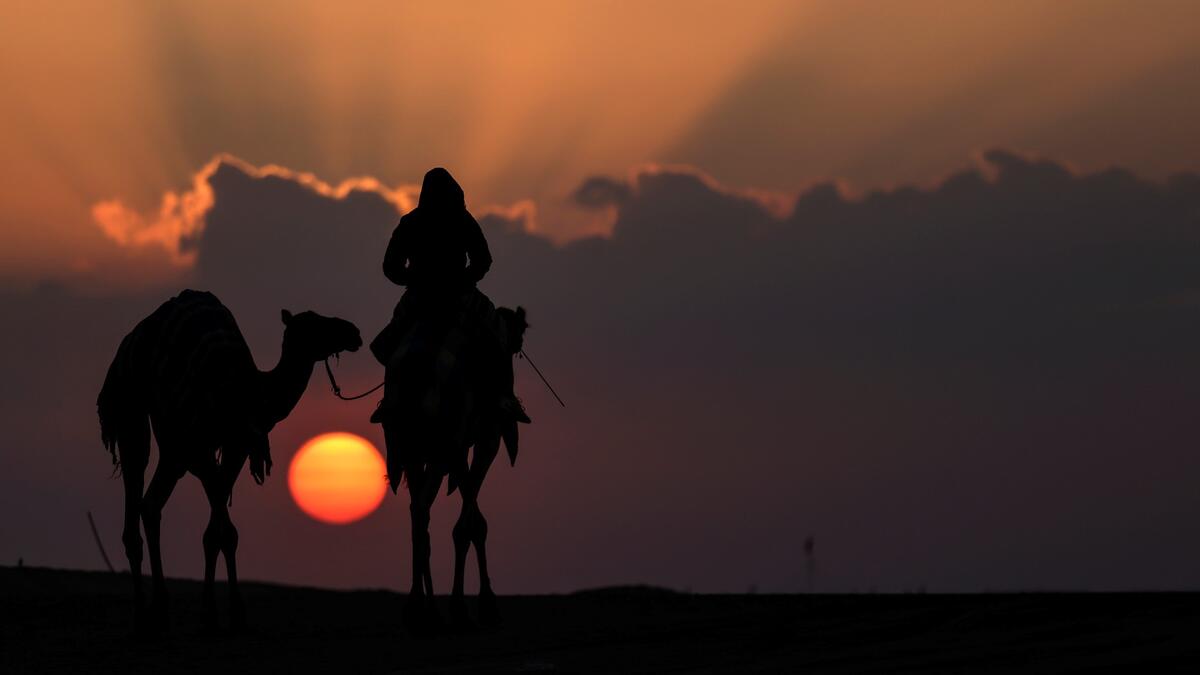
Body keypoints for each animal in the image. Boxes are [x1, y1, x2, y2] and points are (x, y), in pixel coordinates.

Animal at [97, 289, 362, 631]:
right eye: (313, 325)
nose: (353, 332)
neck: (253, 392)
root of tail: (129, 342)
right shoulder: (200, 448)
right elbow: (224, 528)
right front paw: (229, 611)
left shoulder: (236, 447)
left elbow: (217, 533)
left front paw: (214, 612)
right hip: (135, 409)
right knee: (137, 484)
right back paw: (144, 612)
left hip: (172, 444)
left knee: (151, 504)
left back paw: (159, 608)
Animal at [376, 297, 528, 631]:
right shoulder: (485, 439)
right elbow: (473, 524)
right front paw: (481, 605)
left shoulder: (439, 452)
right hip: (451, 440)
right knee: (433, 511)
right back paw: (435, 610)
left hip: (414, 445)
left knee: (418, 512)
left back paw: (421, 609)